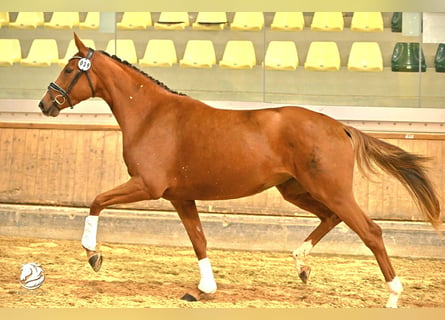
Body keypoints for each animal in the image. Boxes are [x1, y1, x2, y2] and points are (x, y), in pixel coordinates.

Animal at [38, 34, 440, 308]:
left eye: (70, 68)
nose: (45, 103)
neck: (151, 116)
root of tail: (340, 126)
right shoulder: (180, 197)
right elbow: (199, 240)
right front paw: (203, 290)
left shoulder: (147, 186)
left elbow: (96, 200)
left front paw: (93, 255)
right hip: (296, 190)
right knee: (331, 218)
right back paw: (302, 266)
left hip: (331, 190)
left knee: (370, 231)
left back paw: (393, 295)